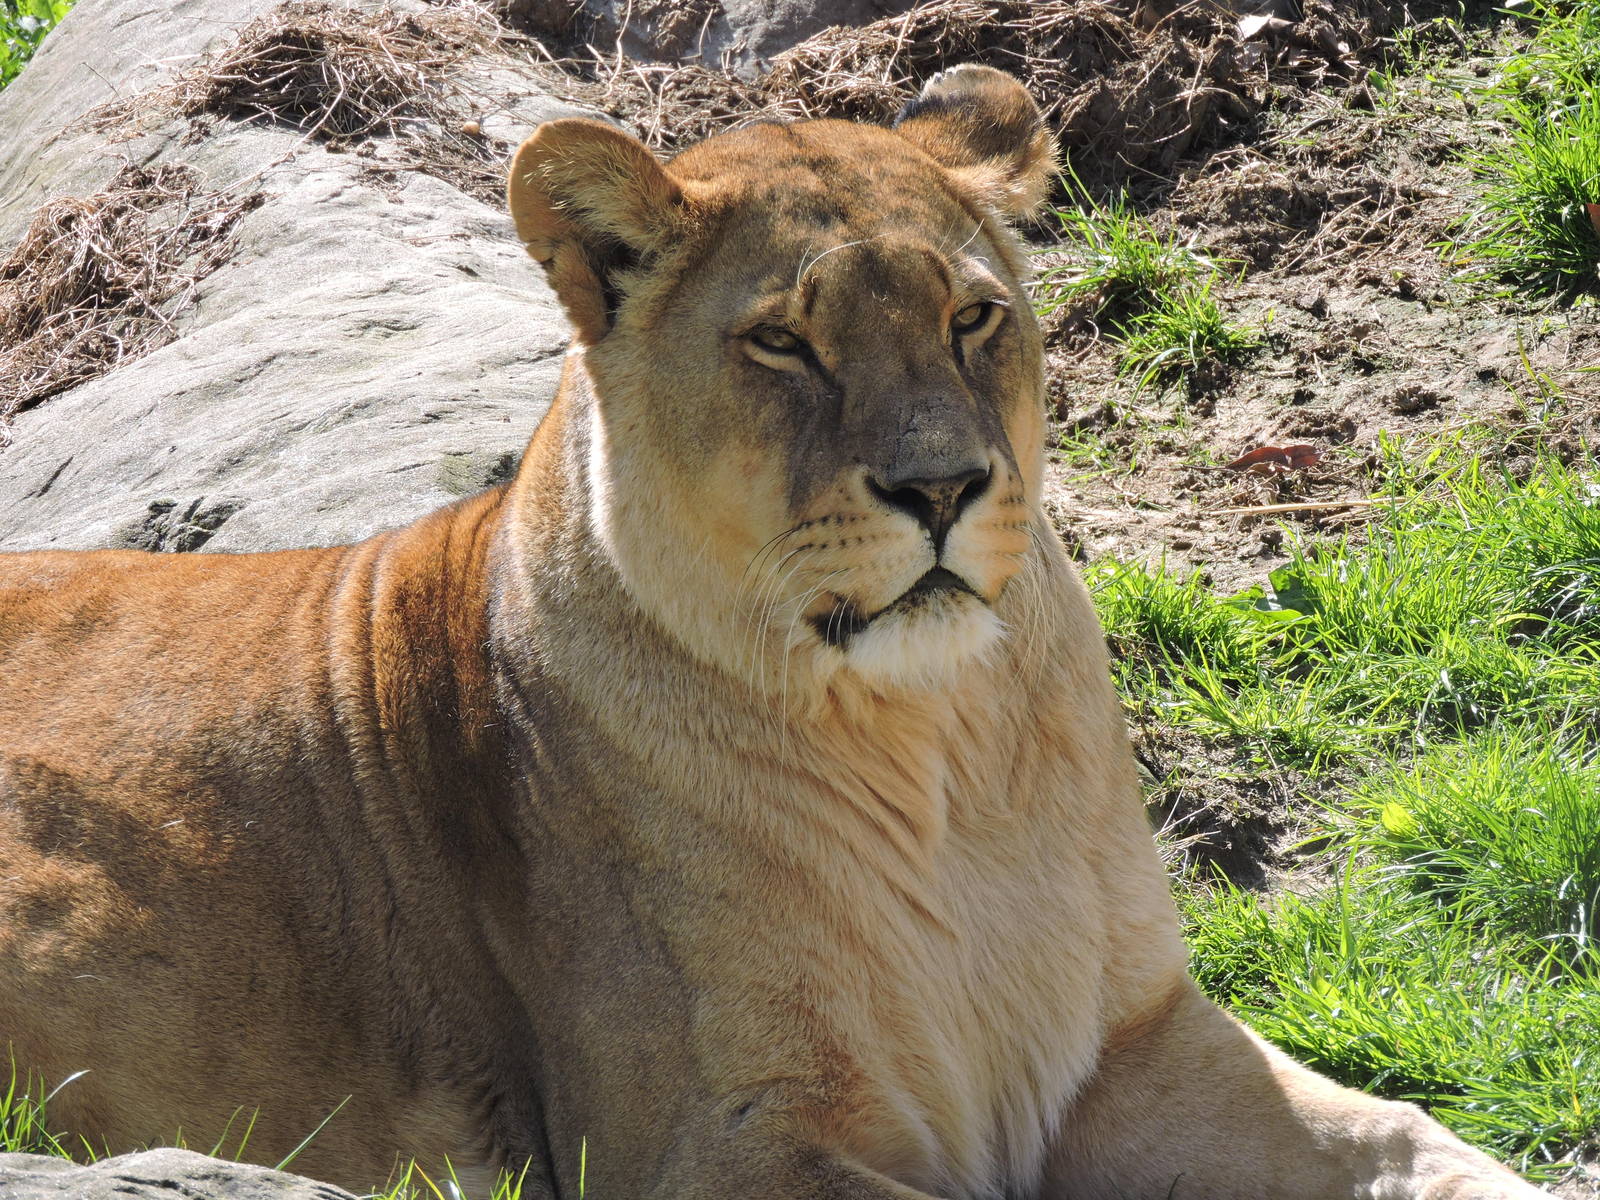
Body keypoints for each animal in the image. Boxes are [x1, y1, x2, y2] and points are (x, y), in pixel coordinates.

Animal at [0, 65, 1545, 1199]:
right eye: (784, 343)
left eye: (973, 316)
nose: (943, 486)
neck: (946, 755)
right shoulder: (711, 1144)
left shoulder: (1131, 1046)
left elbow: (1410, 1139)